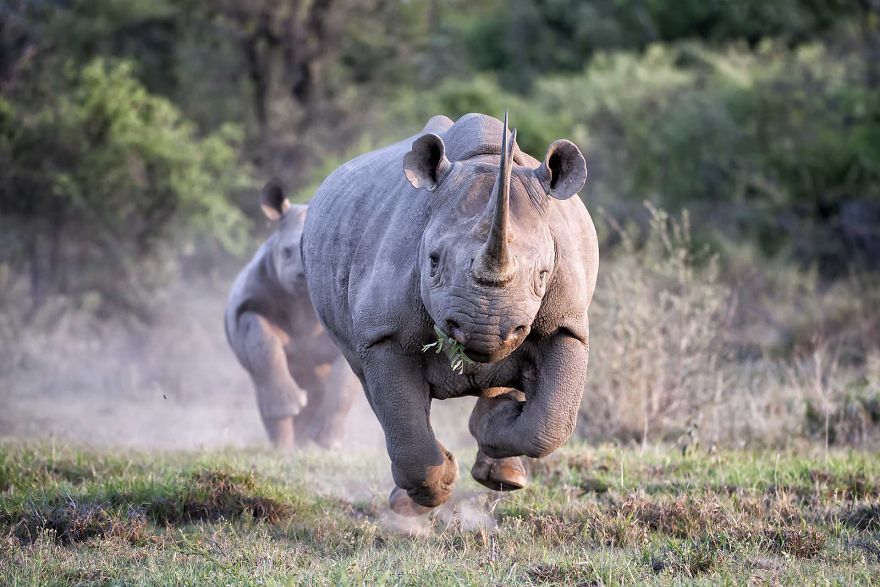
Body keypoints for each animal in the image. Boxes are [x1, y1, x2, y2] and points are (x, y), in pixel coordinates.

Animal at [225, 181, 358, 450]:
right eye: (286, 252)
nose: (303, 274)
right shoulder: (249, 304)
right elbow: (263, 343)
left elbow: (344, 382)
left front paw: (328, 443)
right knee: (263, 388)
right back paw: (283, 448)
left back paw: (313, 443)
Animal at [302, 113, 598, 515]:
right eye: (433, 261)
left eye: (542, 274)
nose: (485, 330)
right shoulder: (384, 332)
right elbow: (402, 412)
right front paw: (437, 488)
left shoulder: (565, 324)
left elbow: (548, 424)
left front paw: (500, 421)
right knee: (369, 381)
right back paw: (411, 499)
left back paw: (505, 472)